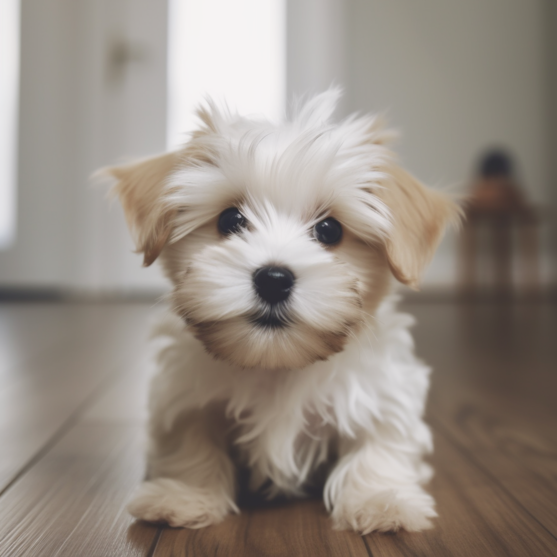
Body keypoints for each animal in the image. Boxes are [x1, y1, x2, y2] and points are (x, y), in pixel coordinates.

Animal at [106, 89, 458, 532]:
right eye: (231, 220)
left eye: (329, 230)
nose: (273, 278)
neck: (277, 364)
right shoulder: (185, 396)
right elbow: (191, 442)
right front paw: (183, 495)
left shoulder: (383, 391)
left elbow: (380, 442)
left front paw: (381, 500)